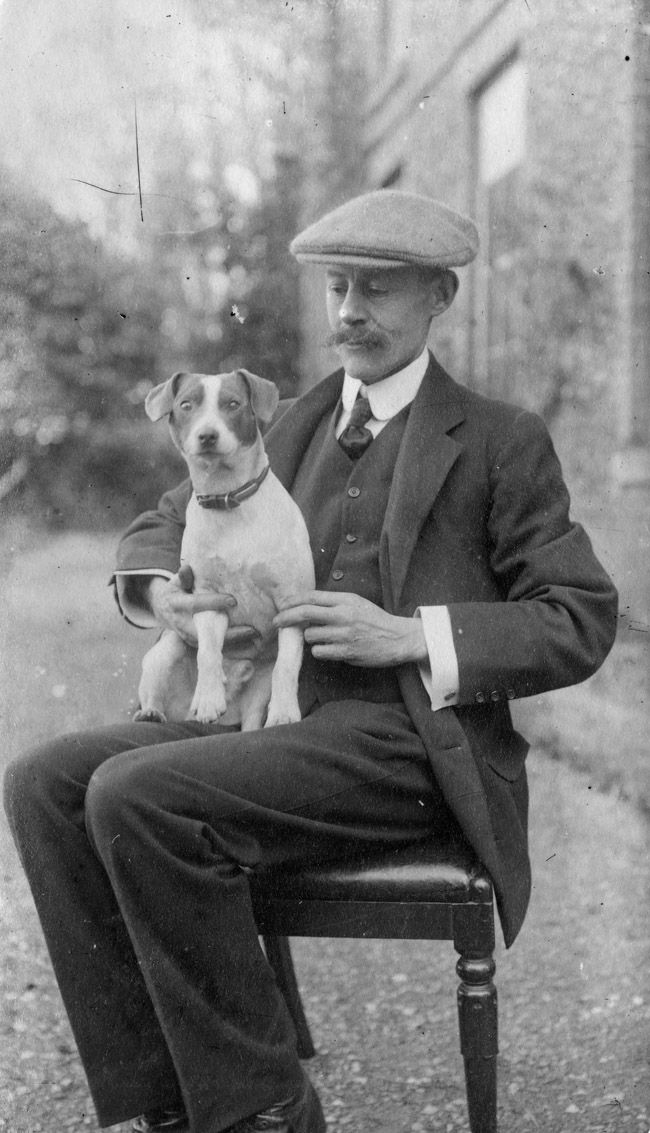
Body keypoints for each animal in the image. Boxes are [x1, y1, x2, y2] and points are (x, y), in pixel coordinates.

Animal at [134, 367, 317, 729]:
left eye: (233, 404)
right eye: (186, 404)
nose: (207, 435)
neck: (229, 500)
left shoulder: (292, 602)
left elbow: (287, 665)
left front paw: (285, 712)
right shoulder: (208, 599)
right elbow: (208, 654)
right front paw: (207, 697)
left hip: (258, 687)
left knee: (254, 713)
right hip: (165, 652)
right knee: (157, 688)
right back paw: (153, 712)